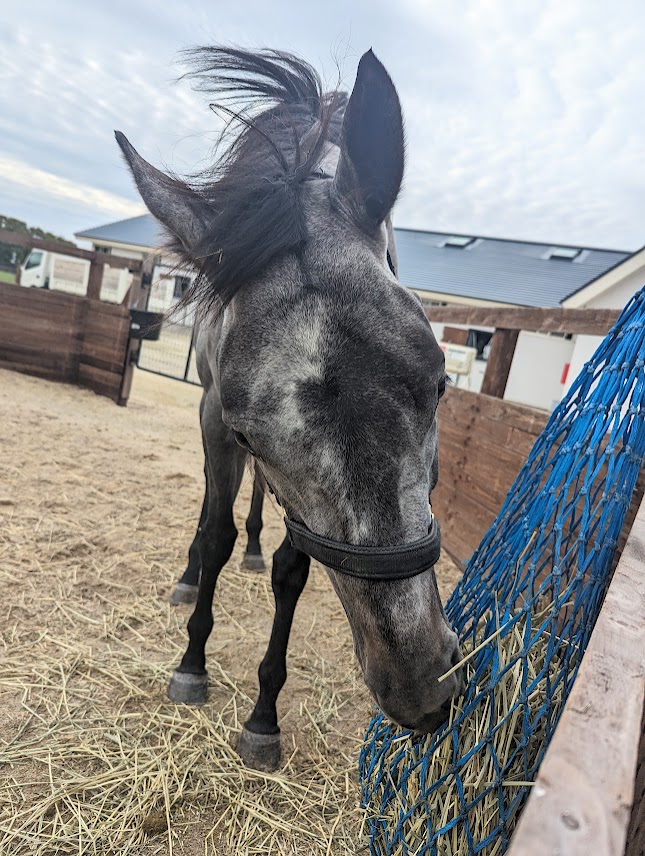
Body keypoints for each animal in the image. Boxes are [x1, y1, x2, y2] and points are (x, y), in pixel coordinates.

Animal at [116, 46, 463, 772]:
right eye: (251, 435)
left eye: (440, 385)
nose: (420, 686)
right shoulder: (218, 420)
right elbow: (215, 534)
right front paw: (192, 664)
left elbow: (293, 570)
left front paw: (263, 715)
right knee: (214, 516)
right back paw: (190, 576)